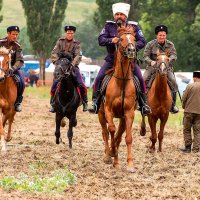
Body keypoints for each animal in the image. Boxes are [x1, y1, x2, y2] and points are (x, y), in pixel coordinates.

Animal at [98, 26, 138, 172]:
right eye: (121, 39)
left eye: (134, 39)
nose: (131, 50)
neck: (122, 82)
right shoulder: (108, 111)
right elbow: (111, 130)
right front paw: (111, 153)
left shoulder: (129, 113)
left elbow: (127, 138)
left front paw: (130, 164)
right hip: (101, 114)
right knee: (105, 132)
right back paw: (108, 156)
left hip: (122, 118)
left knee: (118, 136)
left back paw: (115, 161)